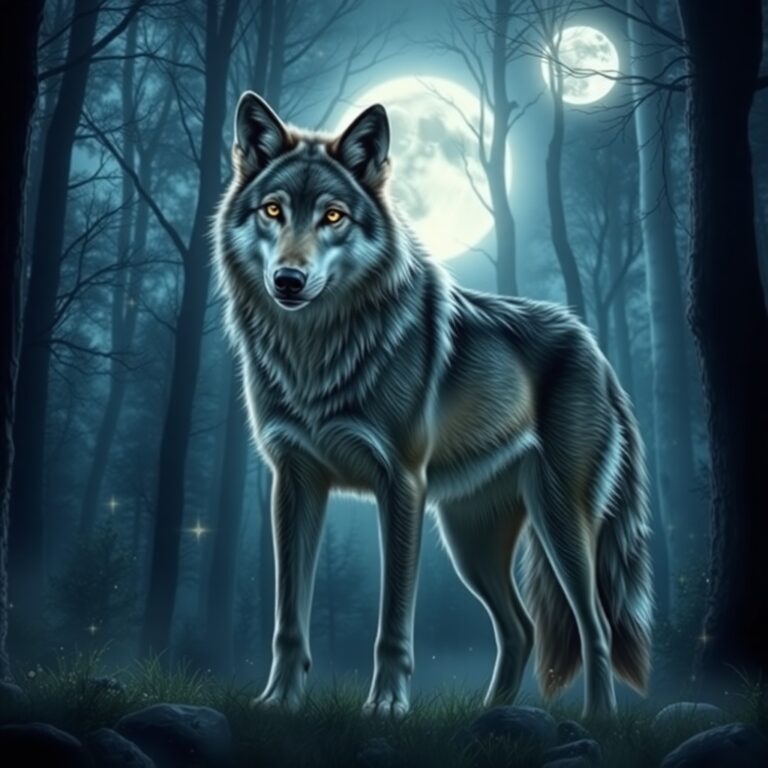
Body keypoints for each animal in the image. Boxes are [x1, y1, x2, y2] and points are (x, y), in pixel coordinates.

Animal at [214, 91, 653, 718]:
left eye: (333, 217)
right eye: (273, 211)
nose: (289, 280)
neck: (316, 352)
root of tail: (594, 347)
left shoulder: (401, 483)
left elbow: (394, 620)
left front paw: (387, 706)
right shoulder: (294, 479)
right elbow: (288, 617)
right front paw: (278, 701)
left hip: (560, 523)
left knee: (594, 626)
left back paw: (598, 721)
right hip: (469, 541)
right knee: (520, 629)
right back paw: (490, 716)